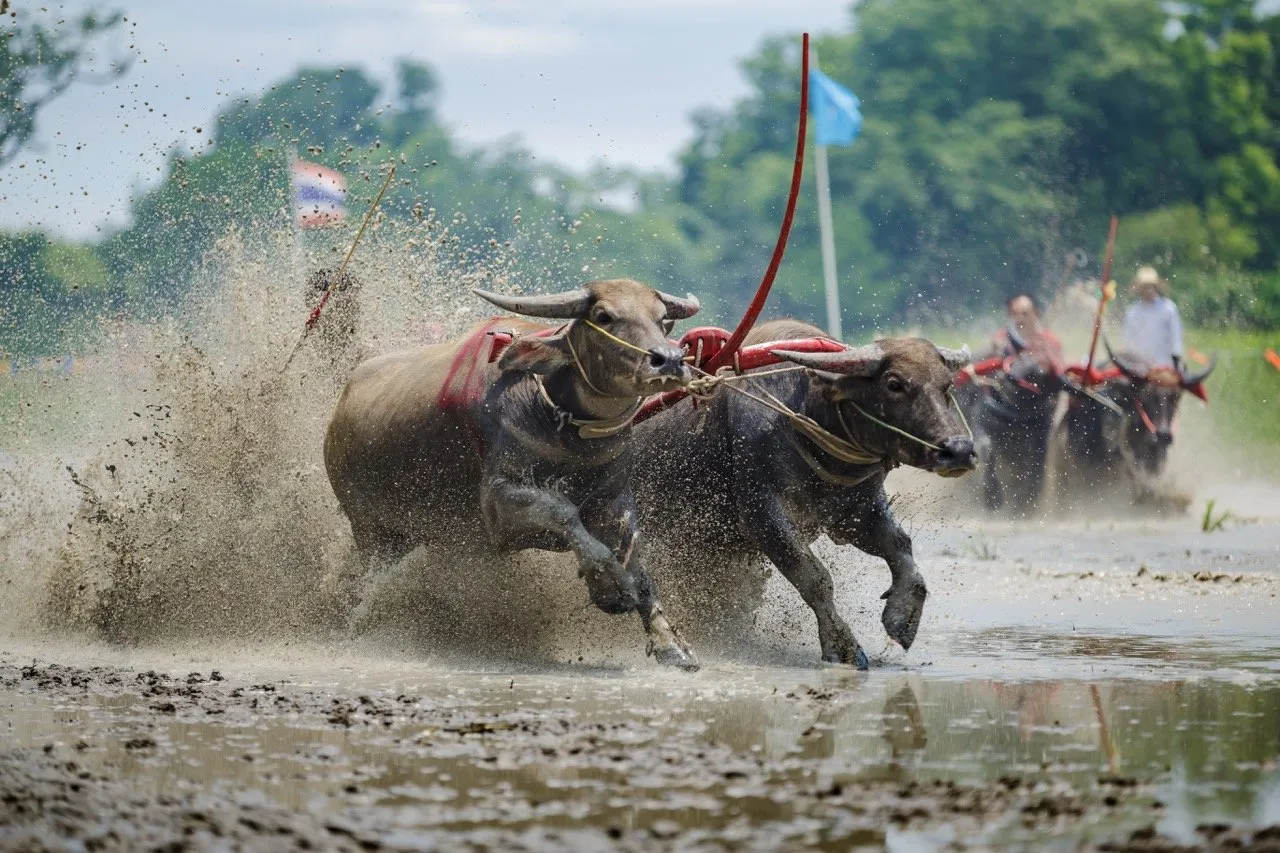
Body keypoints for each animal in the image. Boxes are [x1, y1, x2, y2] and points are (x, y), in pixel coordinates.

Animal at [324, 278, 702, 668]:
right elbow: (564, 513)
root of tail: (339, 413)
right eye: (603, 316)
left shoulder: (614, 497)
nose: (670, 360)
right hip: (370, 529)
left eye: (662, 319)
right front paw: (610, 586)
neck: (564, 429)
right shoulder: (499, 506)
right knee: (365, 577)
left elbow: (637, 563)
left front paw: (672, 646)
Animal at [633, 319, 976, 669]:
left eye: (946, 385)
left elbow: (902, 548)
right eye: (894, 383)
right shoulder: (765, 520)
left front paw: (902, 617)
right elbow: (816, 579)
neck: (803, 414)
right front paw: (842, 646)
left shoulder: (859, 513)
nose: (959, 450)